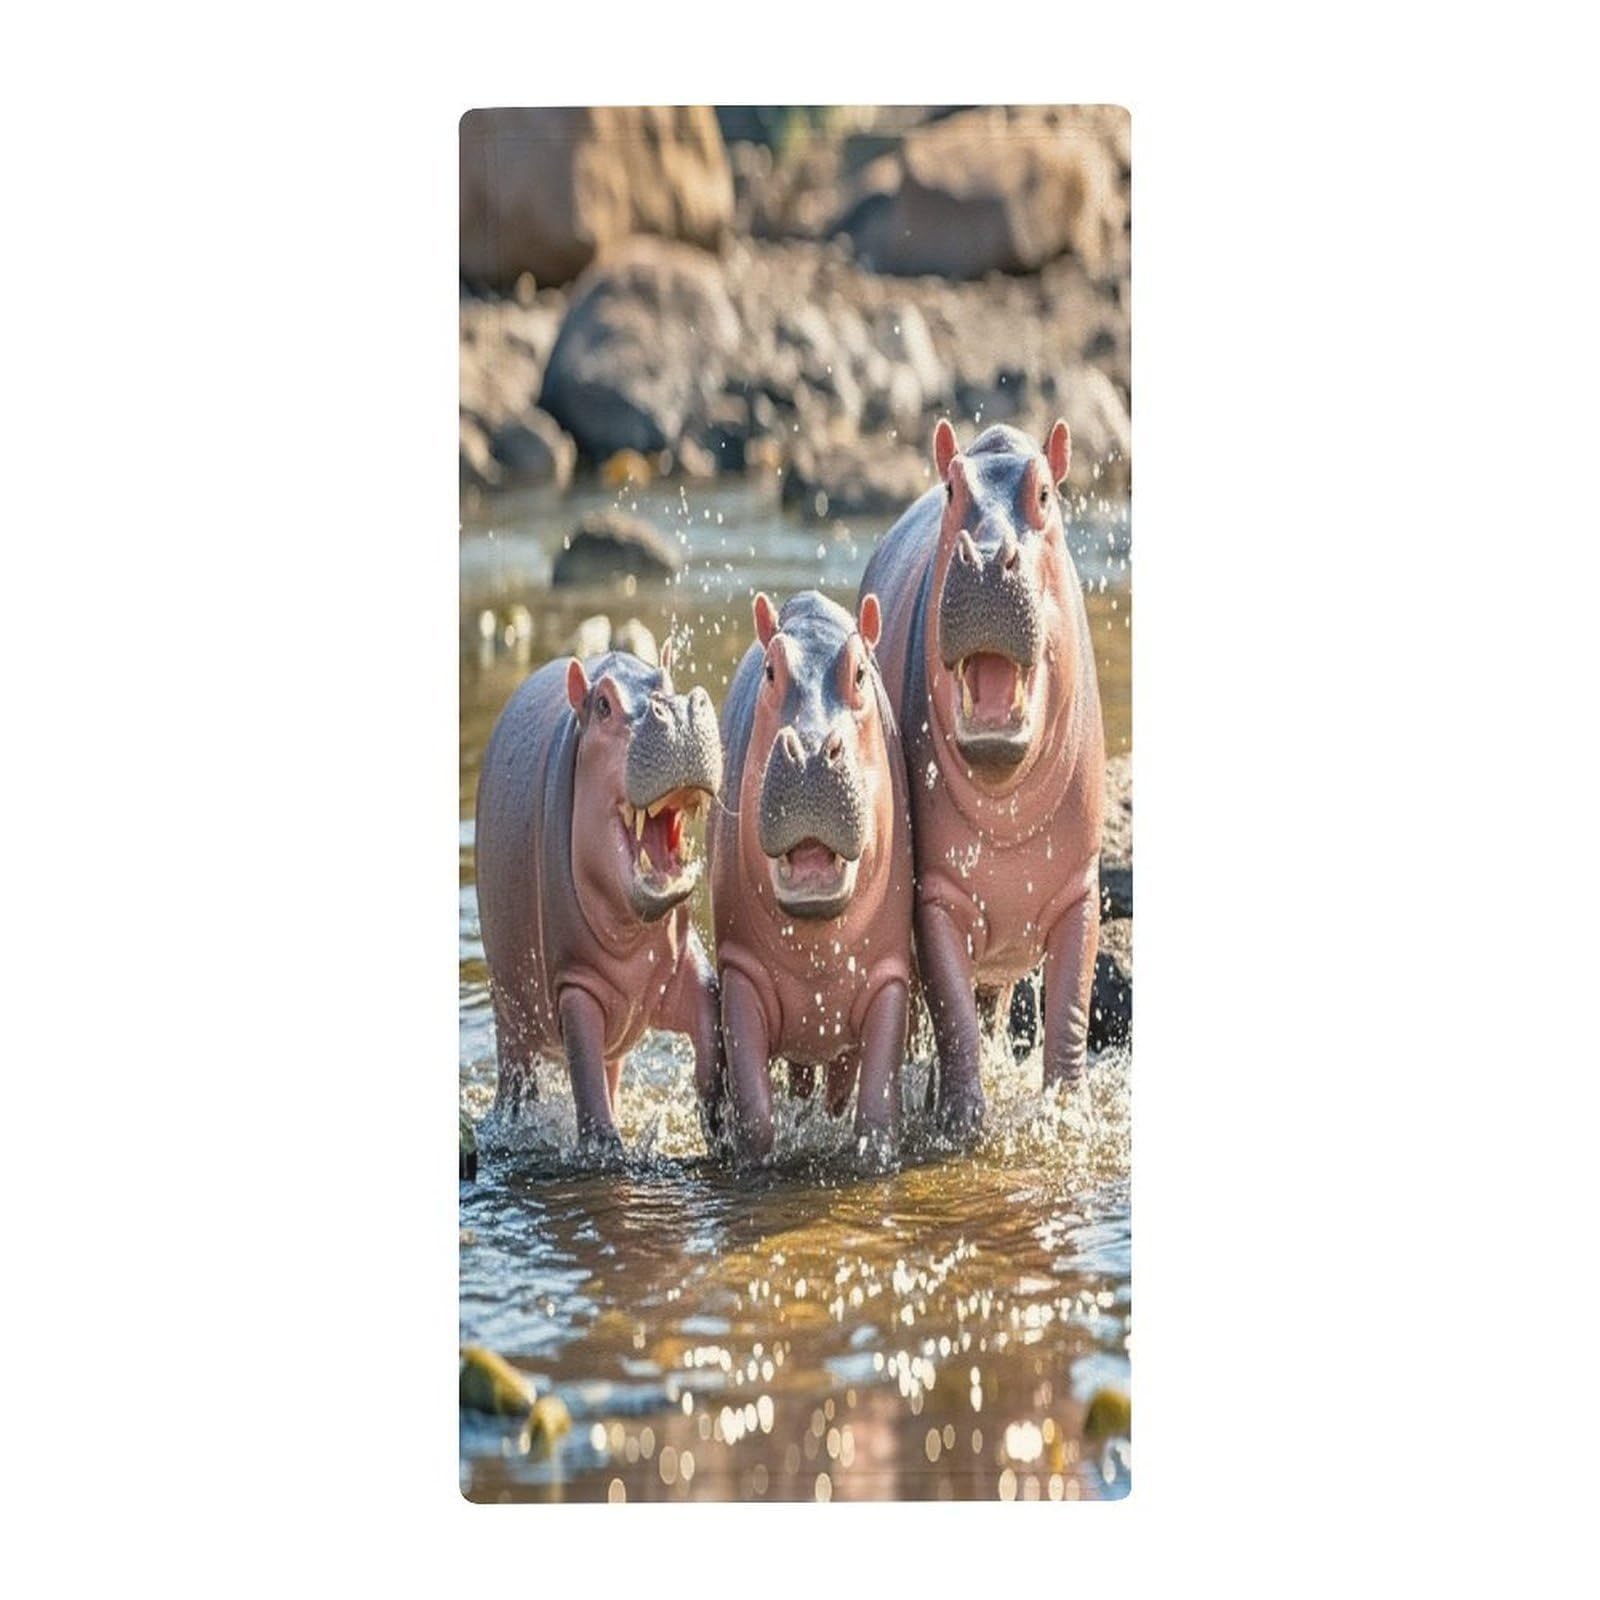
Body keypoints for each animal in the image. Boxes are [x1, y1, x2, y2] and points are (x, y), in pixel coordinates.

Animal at [475, 648, 725, 1156]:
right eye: (604, 705)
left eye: (668, 680)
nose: (679, 710)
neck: (632, 937)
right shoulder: (574, 987)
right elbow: (587, 1085)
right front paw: (606, 1148)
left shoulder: (683, 970)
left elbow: (710, 1028)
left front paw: (719, 1126)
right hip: (510, 1015)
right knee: (519, 1078)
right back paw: (510, 1122)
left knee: (610, 1072)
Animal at [708, 591, 914, 1162]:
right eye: (771, 670)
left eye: (861, 672)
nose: (813, 749)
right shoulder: (740, 971)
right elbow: (756, 1115)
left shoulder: (890, 974)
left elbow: (876, 1110)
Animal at [860, 419, 1105, 1133]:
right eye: (951, 488)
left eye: (1046, 493)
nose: (990, 557)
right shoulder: (936, 897)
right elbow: (951, 1011)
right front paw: (962, 1123)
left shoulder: (1081, 890)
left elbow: (1070, 1007)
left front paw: (1066, 1116)